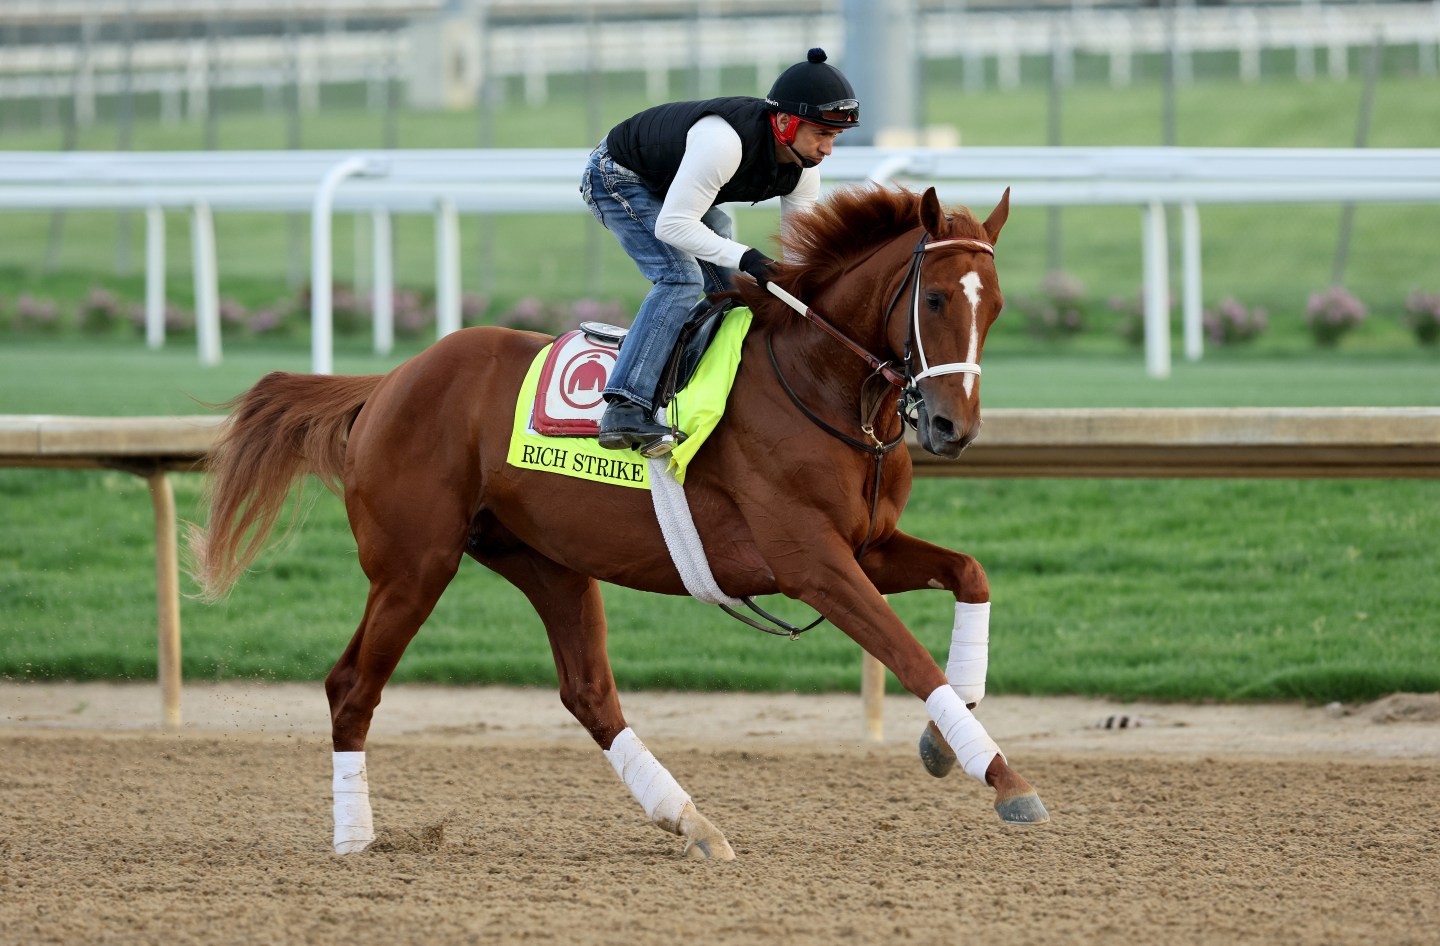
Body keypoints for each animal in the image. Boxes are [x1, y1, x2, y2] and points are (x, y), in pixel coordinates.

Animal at [190, 183, 1048, 860]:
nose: (952, 427)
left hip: (545, 561)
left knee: (589, 694)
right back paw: (355, 839)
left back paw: (690, 820)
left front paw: (945, 738)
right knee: (351, 686)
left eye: (998, 306)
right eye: (935, 300)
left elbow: (971, 574)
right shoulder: (811, 561)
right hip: (414, 565)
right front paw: (1002, 775)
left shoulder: (865, 548)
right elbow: (908, 656)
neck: (822, 387)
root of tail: (388, 382)